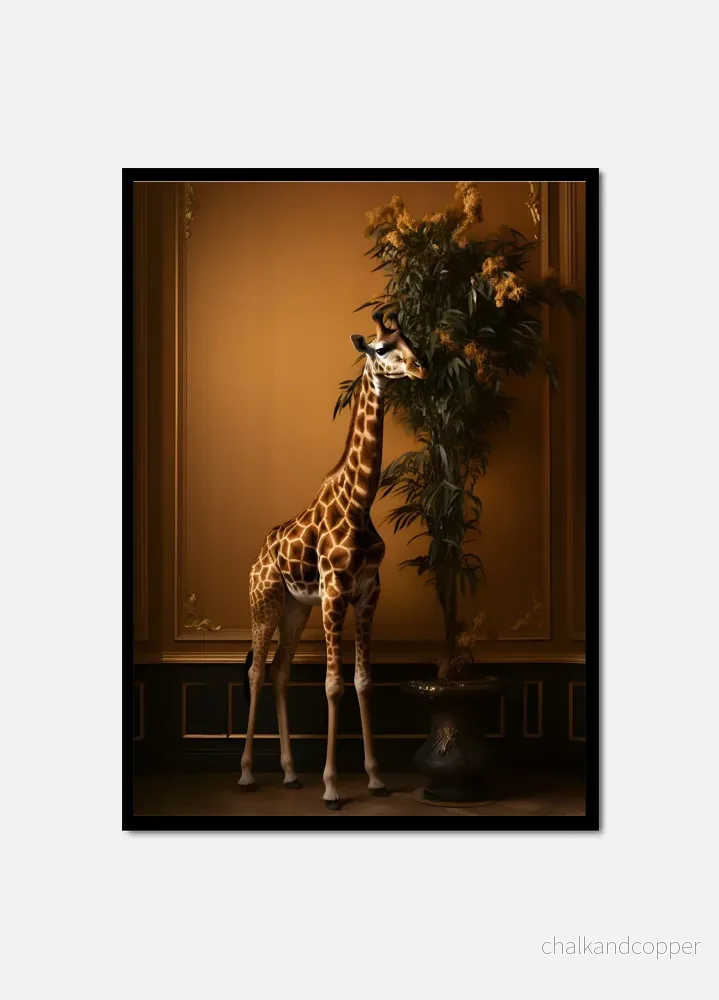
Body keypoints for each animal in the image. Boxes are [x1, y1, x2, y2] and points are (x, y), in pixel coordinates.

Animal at [240, 311, 428, 809]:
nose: (420, 367)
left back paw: (289, 774)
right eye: (381, 348)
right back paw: (247, 774)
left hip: (295, 607)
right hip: (265, 602)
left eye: (411, 340)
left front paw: (376, 779)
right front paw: (331, 787)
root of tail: (258, 554)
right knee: (255, 670)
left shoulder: (367, 594)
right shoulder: (335, 594)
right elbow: (332, 684)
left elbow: (362, 681)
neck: (360, 502)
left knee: (280, 670)